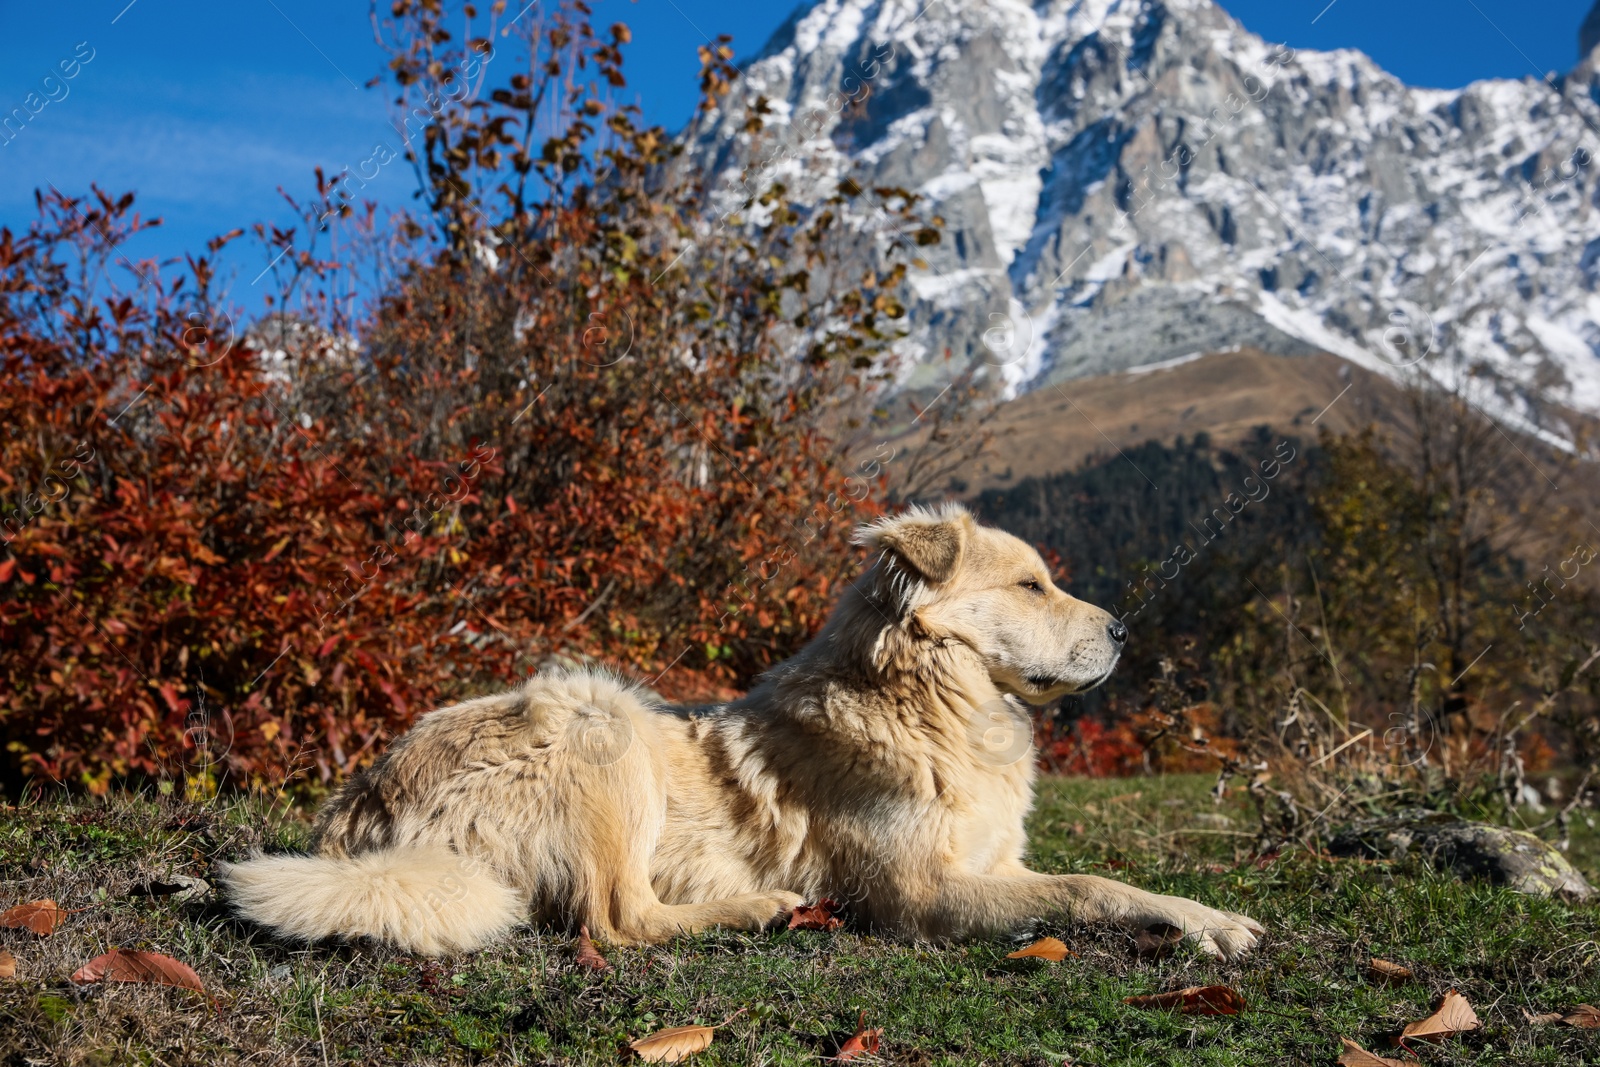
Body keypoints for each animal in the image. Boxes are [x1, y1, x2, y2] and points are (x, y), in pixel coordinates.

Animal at [222, 508, 1260, 959]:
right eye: (1031, 584)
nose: (1124, 632)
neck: (925, 703)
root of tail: (364, 811)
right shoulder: (920, 895)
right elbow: (1090, 886)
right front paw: (1207, 922)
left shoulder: (994, 864)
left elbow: (1096, 879)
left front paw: (1193, 915)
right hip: (601, 718)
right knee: (618, 919)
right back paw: (759, 907)